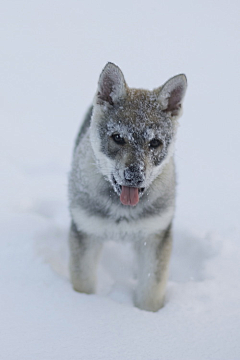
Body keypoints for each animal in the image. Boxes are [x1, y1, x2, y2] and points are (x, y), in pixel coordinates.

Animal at [67, 63, 188, 310]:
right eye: (118, 137)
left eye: (154, 143)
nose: (134, 176)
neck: (122, 210)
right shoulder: (86, 232)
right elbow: (83, 285)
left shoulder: (154, 237)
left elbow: (150, 293)